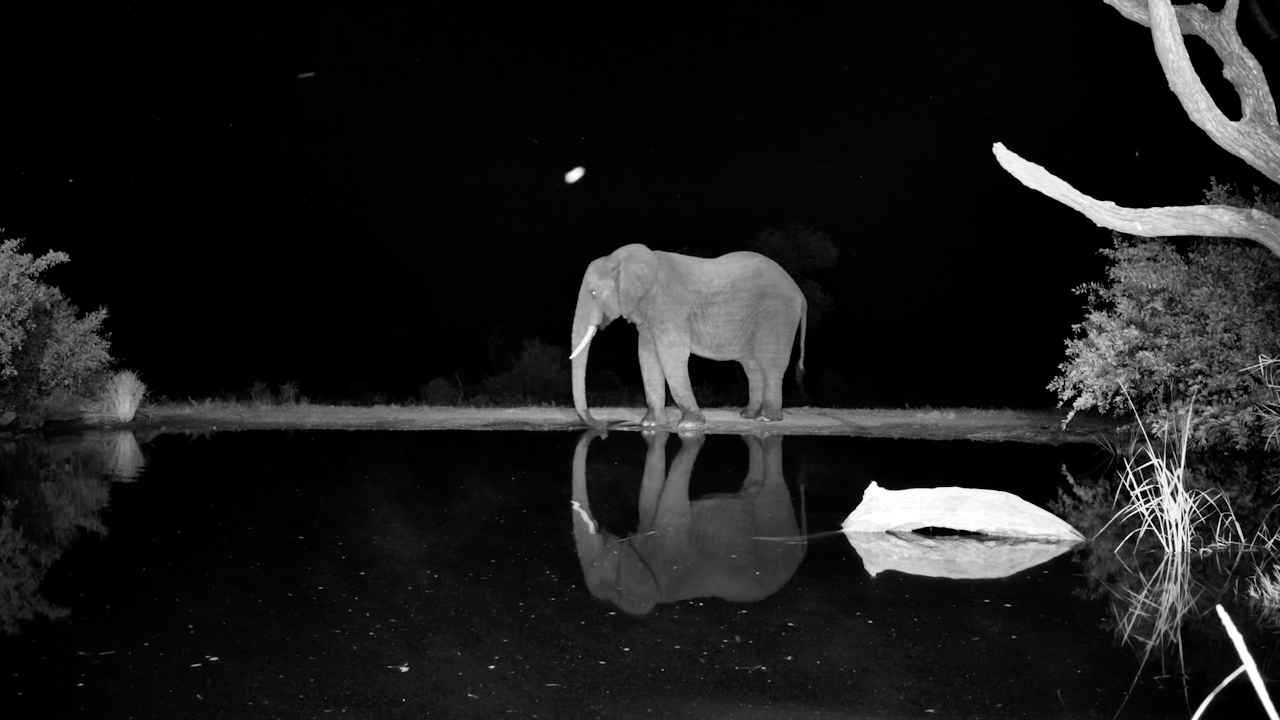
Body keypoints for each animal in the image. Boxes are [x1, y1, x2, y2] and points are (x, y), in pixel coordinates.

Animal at [569, 244, 807, 428]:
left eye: (593, 293)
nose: (604, 424)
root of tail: (800, 293)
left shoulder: (669, 304)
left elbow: (671, 356)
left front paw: (690, 424)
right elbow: (647, 357)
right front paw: (650, 424)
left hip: (777, 314)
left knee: (770, 364)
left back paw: (766, 419)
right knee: (752, 367)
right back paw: (748, 415)